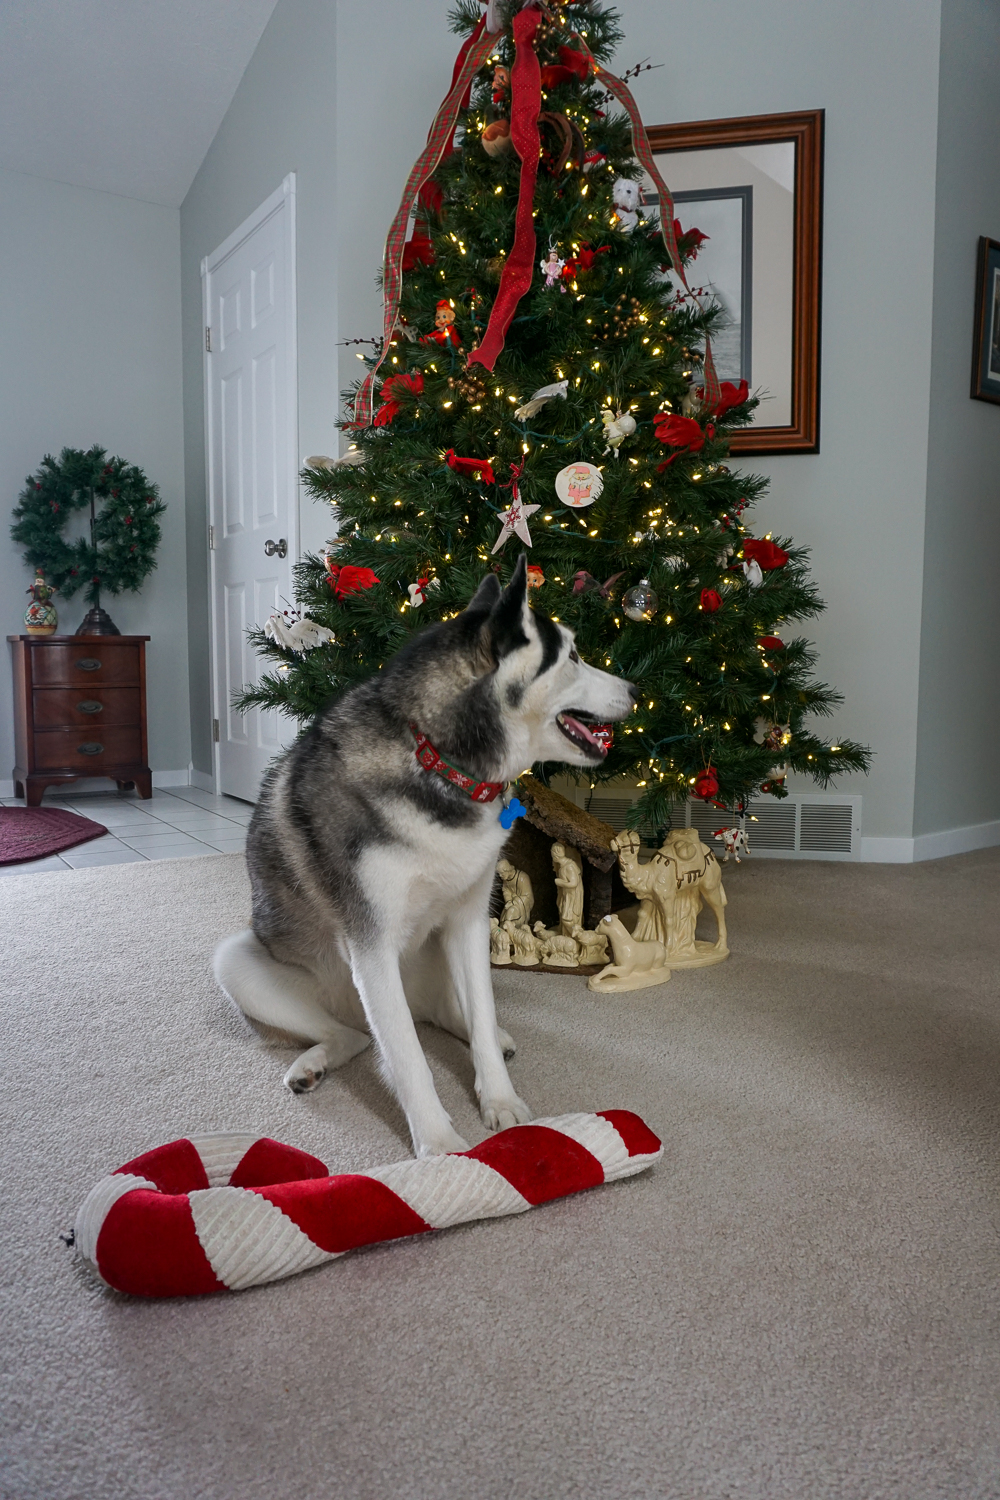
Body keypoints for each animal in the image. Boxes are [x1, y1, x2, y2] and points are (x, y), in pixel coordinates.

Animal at [212, 558, 632, 1152]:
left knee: (452, 1016)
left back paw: (487, 1033)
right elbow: (410, 1060)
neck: (441, 763)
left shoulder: (470, 921)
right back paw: (316, 1062)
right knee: (362, 1038)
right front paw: (439, 1145)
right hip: (244, 964)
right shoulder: (370, 944)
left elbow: (479, 1019)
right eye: (571, 656)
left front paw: (499, 1101)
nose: (637, 689)